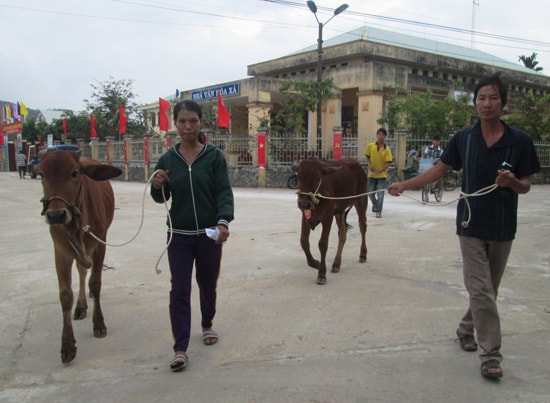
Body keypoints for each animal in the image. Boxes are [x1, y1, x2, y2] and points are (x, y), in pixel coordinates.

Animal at [36, 150, 123, 364]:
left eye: (75, 173)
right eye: (41, 174)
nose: (56, 215)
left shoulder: (100, 244)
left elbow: (96, 283)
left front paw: (99, 324)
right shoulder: (60, 252)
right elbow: (65, 295)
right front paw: (67, 346)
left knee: (87, 273)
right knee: (82, 271)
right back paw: (81, 306)